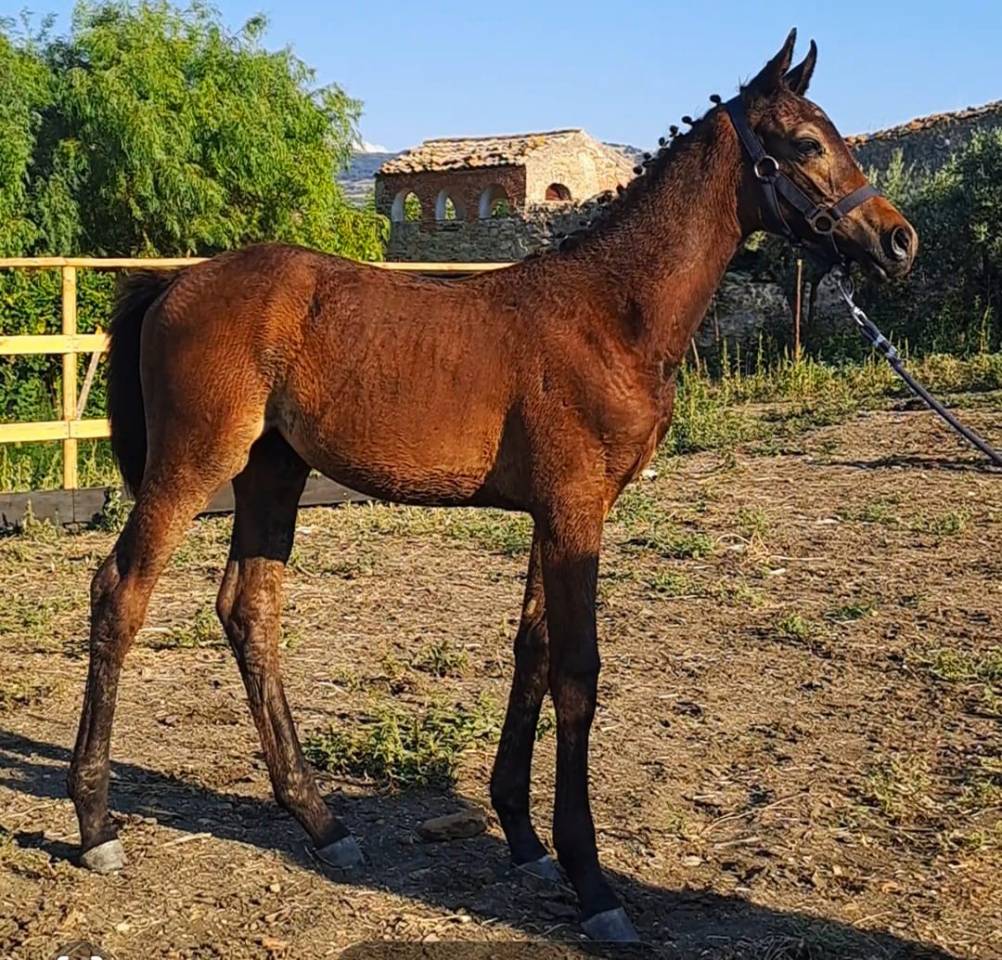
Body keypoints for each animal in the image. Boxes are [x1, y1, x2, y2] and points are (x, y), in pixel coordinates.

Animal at [68, 30, 916, 942]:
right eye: (805, 143)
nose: (900, 242)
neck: (611, 313)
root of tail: (175, 281)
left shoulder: (558, 513)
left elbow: (533, 651)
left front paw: (524, 837)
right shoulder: (576, 510)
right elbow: (578, 672)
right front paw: (593, 882)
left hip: (272, 473)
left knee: (249, 611)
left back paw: (322, 822)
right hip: (193, 462)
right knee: (121, 594)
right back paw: (97, 825)